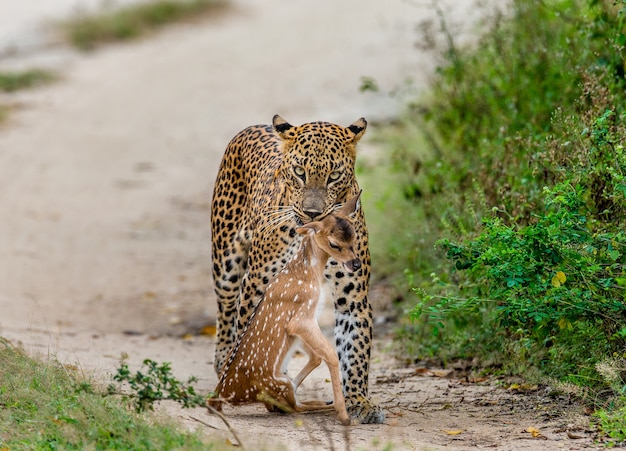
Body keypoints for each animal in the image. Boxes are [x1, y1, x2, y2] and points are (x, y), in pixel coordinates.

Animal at [210, 115, 382, 426]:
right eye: (299, 172)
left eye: (334, 176)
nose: (313, 213)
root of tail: (254, 126)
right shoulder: (258, 286)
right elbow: (259, 340)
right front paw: (265, 387)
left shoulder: (353, 296)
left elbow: (354, 347)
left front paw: (358, 401)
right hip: (226, 266)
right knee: (227, 312)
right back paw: (224, 363)